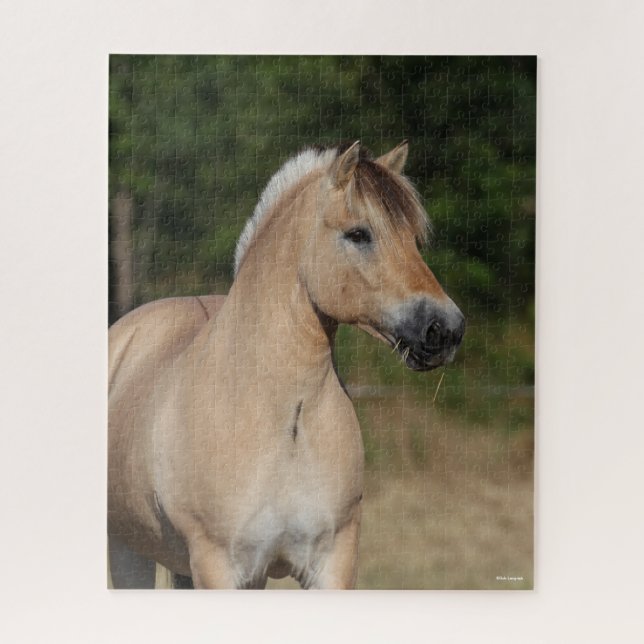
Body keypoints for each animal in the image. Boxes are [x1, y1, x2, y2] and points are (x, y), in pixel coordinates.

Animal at [108, 141, 465, 589]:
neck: (286, 419)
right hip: (129, 551)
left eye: (413, 239)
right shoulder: (217, 567)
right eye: (358, 234)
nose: (446, 329)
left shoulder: (331, 564)